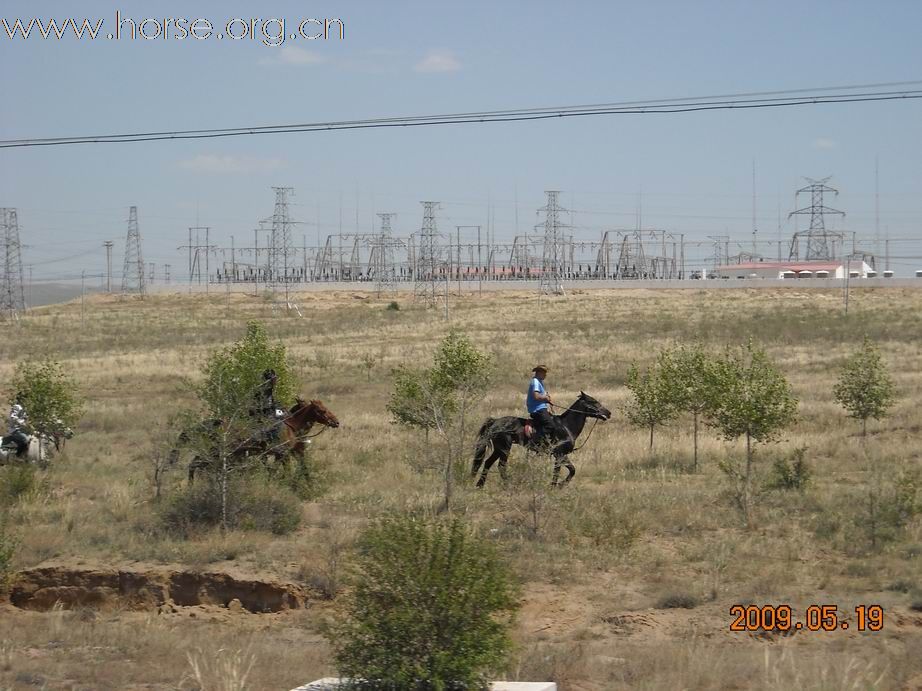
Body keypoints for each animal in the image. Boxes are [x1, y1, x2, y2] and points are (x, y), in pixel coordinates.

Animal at [171, 398, 340, 484]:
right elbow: (281, 471)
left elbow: (277, 470)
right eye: (322, 410)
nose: (336, 422)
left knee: (196, 464)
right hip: (217, 453)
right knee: (195, 465)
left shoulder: (284, 454)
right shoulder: (283, 453)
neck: (291, 426)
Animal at [470, 392, 608, 490]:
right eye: (593, 401)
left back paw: (480, 485)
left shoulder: (562, 455)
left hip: (499, 449)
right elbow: (563, 470)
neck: (566, 426)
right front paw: (556, 486)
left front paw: (557, 485)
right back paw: (508, 485)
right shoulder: (560, 454)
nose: (608, 413)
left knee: (487, 463)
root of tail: (495, 421)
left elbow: (571, 470)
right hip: (504, 448)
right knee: (501, 466)